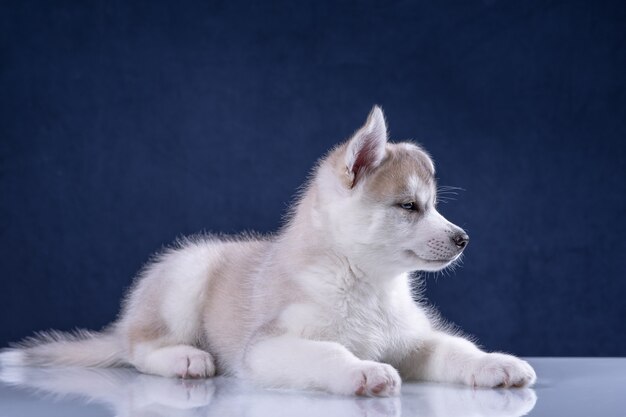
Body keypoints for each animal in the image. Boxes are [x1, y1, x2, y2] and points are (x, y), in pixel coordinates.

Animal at [2, 106, 532, 394]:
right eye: (409, 206)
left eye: (435, 206)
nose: (463, 238)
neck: (366, 286)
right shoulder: (269, 345)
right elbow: (329, 353)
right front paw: (362, 370)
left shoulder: (413, 340)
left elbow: (456, 348)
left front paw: (495, 363)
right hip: (186, 274)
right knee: (138, 348)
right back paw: (184, 359)